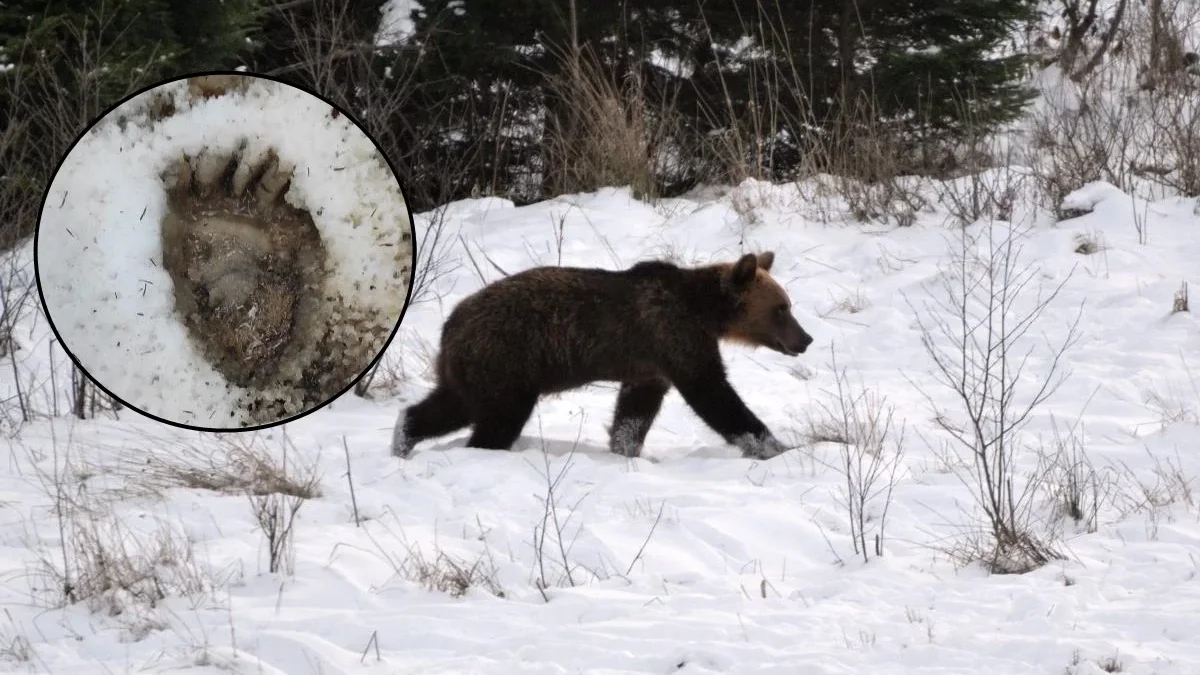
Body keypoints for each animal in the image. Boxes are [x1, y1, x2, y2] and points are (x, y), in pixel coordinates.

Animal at [388, 249, 811, 458]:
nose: (805, 339)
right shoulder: (674, 336)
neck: (705, 310)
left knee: (449, 405)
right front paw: (775, 446)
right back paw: (484, 450)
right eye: (781, 308)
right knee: (497, 418)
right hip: (505, 361)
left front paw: (625, 449)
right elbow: (715, 395)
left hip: (474, 369)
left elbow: (634, 413)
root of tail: (450, 323)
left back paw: (403, 438)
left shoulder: (649, 365)